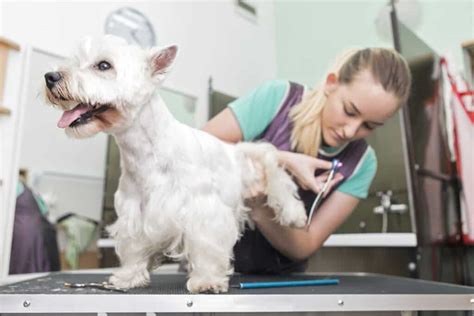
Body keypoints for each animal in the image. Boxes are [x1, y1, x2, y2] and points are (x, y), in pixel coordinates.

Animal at [42, 36, 306, 294]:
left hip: (258, 170)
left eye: (104, 65)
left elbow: (206, 247)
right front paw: (128, 277)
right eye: (76, 61)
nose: (50, 77)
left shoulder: (204, 211)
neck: (144, 153)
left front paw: (206, 280)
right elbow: (134, 248)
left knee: (278, 176)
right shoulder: (134, 213)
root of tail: (236, 150)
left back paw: (294, 213)